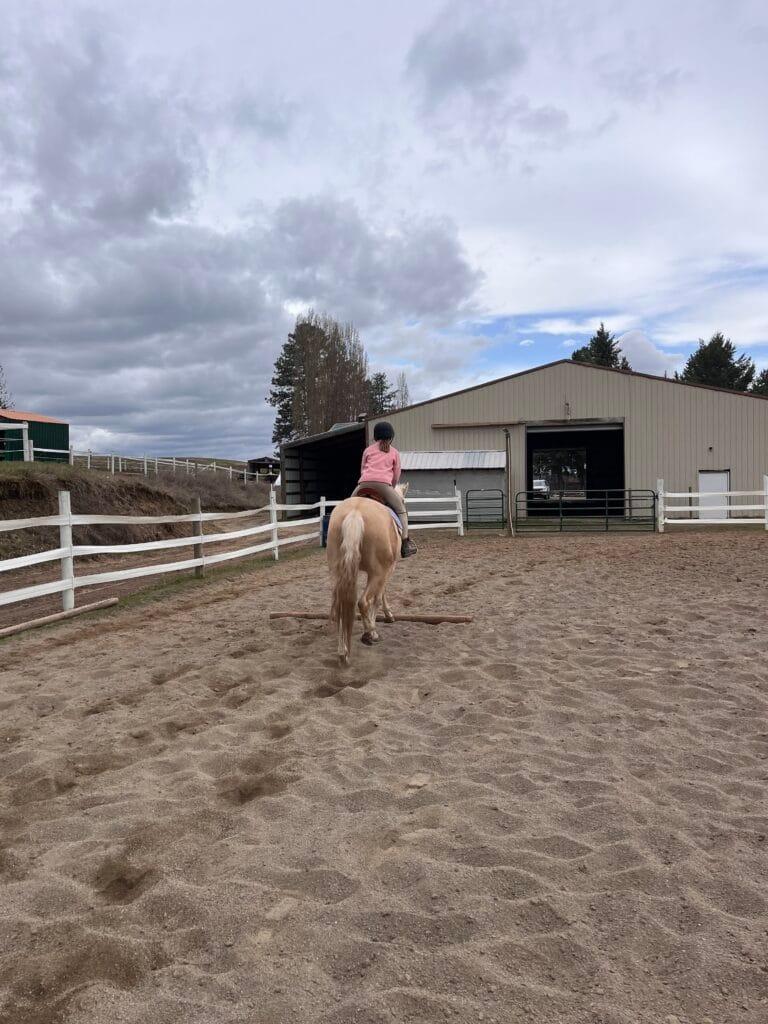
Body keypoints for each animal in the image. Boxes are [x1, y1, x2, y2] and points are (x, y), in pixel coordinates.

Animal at [327, 483, 408, 665]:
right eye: (404, 501)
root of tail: (355, 513)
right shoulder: (387, 570)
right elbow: (378, 597)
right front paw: (387, 616)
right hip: (378, 572)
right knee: (363, 602)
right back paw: (370, 633)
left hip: (339, 573)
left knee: (340, 606)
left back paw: (342, 652)